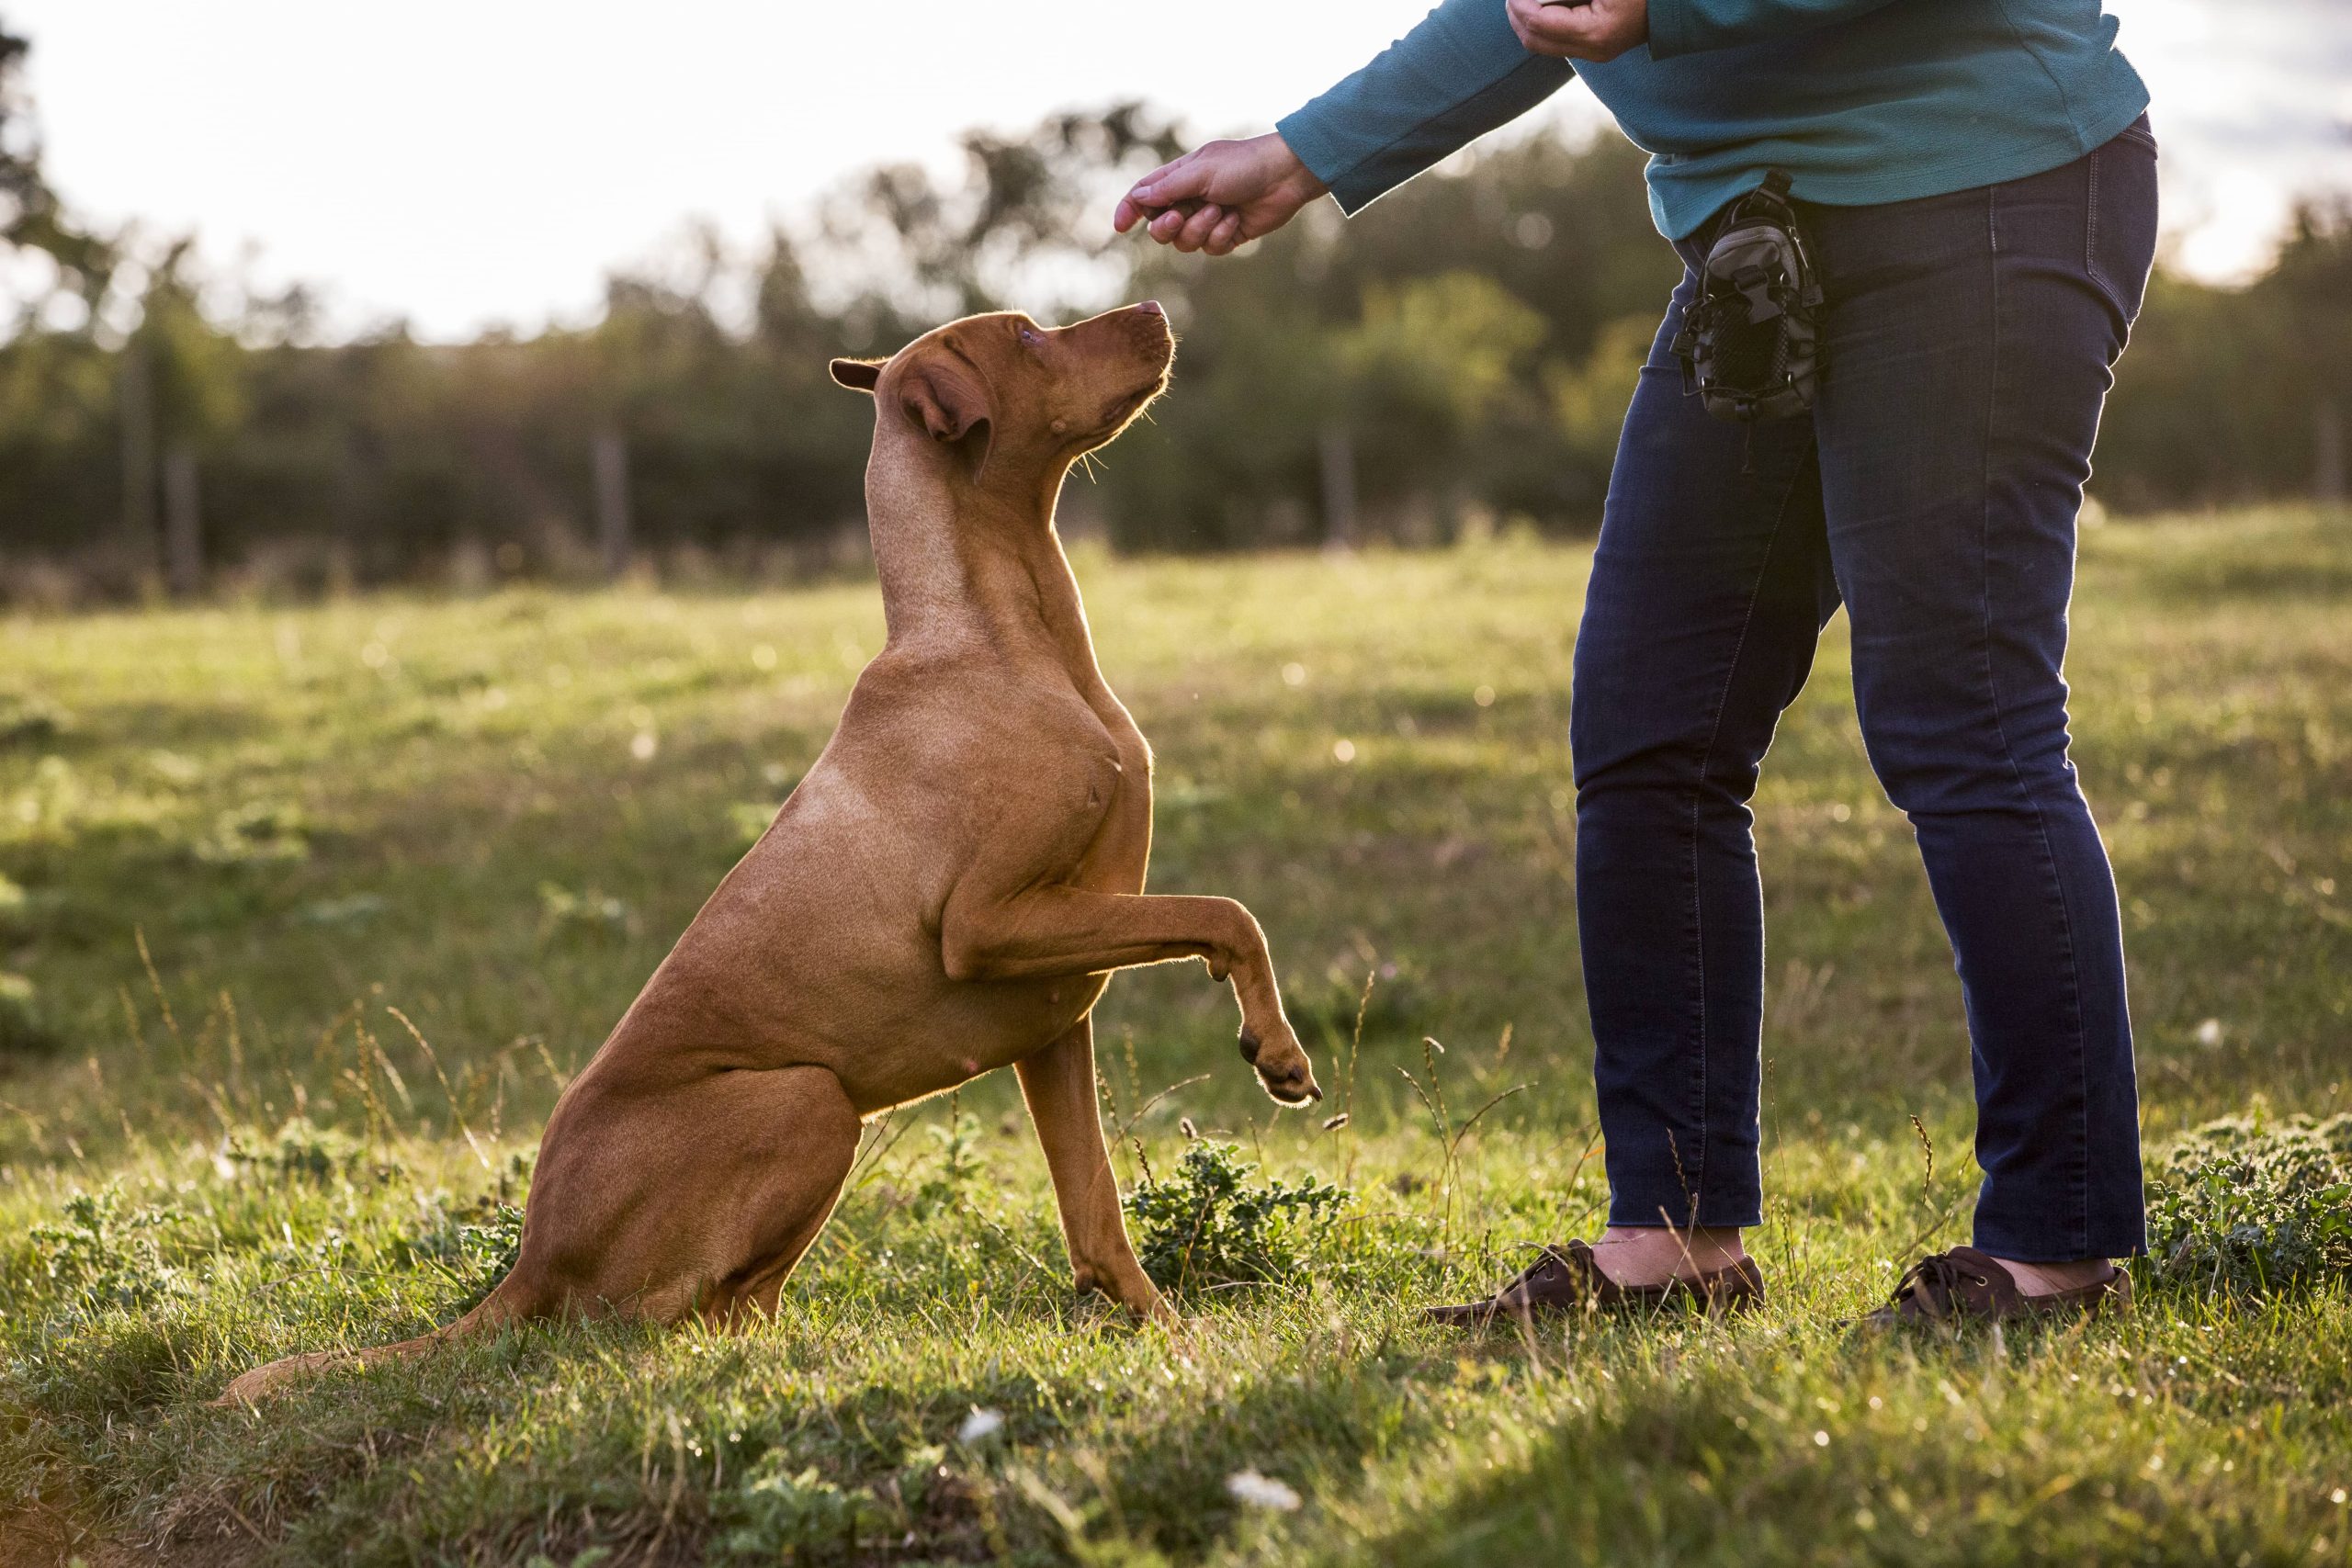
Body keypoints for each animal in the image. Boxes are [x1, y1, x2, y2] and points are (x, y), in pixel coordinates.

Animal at [221, 300, 1336, 1401]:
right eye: (1026, 336)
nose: (1156, 307)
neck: (998, 638)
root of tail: (529, 1261)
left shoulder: (1055, 1009)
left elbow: (1096, 1211)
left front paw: (1171, 1334)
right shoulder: (988, 925)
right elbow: (1227, 913)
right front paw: (1276, 1048)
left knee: (731, 1307)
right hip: (810, 1101)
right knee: (664, 1324)